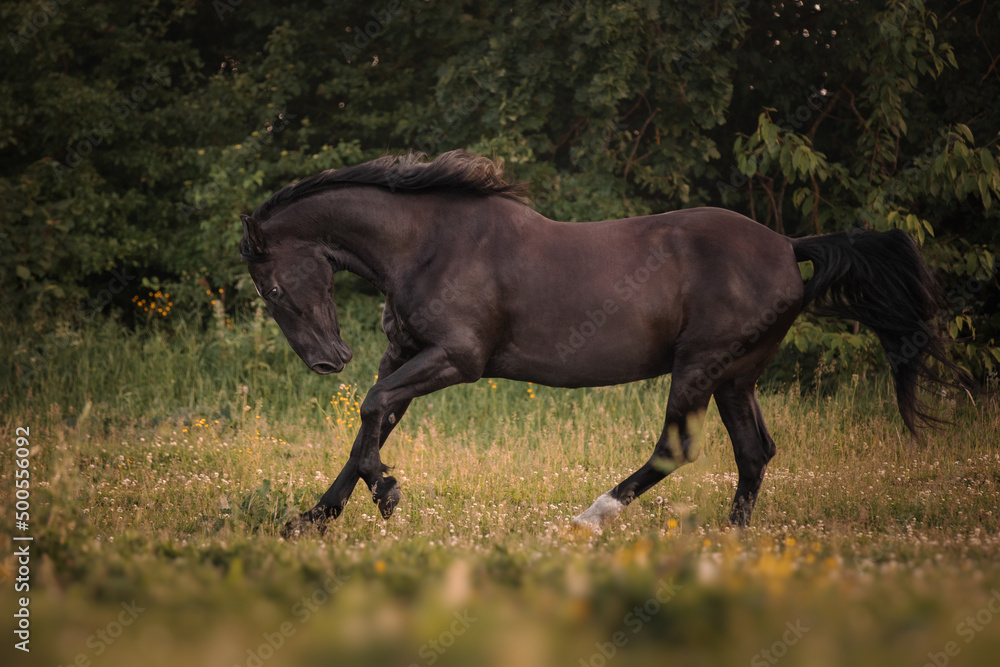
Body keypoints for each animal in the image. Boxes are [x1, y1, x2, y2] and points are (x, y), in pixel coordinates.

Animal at [239, 149, 976, 536]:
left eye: (270, 285)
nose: (327, 359)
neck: (429, 243)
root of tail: (790, 246)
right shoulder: (408, 355)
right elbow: (372, 423)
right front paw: (313, 517)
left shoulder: (456, 359)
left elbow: (370, 409)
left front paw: (385, 494)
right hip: (737, 375)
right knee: (754, 451)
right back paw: (733, 539)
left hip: (699, 367)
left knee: (676, 449)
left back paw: (590, 516)